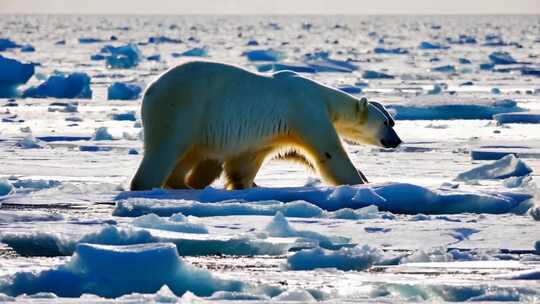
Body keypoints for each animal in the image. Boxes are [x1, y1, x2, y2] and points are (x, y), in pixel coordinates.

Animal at [130, 60, 400, 190]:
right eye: (386, 122)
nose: (396, 141)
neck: (324, 98)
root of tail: (150, 90)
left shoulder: (271, 133)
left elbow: (250, 159)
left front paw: (244, 184)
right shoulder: (305, 110)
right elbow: (329, 152)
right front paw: (361, 182)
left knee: (189, 154)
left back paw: (184, 184)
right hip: (181, 109)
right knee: (165, 149)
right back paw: (148, 185)